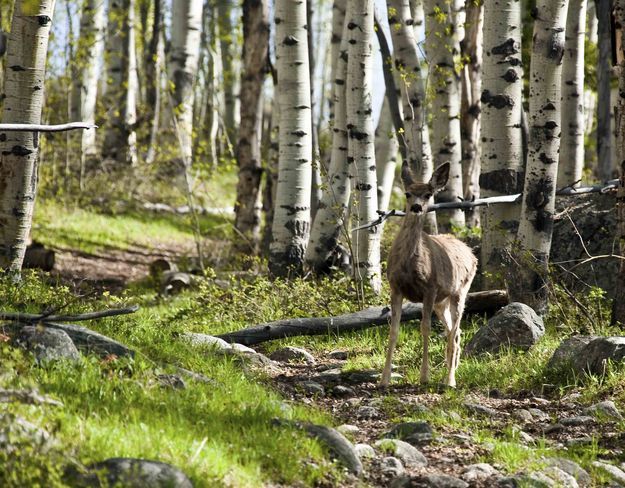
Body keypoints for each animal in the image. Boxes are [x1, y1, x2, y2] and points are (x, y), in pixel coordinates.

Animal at [380, 162, 478, 386]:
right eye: (407, 193)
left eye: (428, 194)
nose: (416, 207)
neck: (408, 264)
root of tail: (471, 253)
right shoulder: (395, 287)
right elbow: (393, 330)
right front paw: (384, 379)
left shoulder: (430, 288)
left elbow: (425, 328)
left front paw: (424, 377)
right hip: (441, 302)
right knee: (454, 331)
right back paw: (452, 368)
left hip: (460, 291)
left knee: (454, 331)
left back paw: (449, 380)